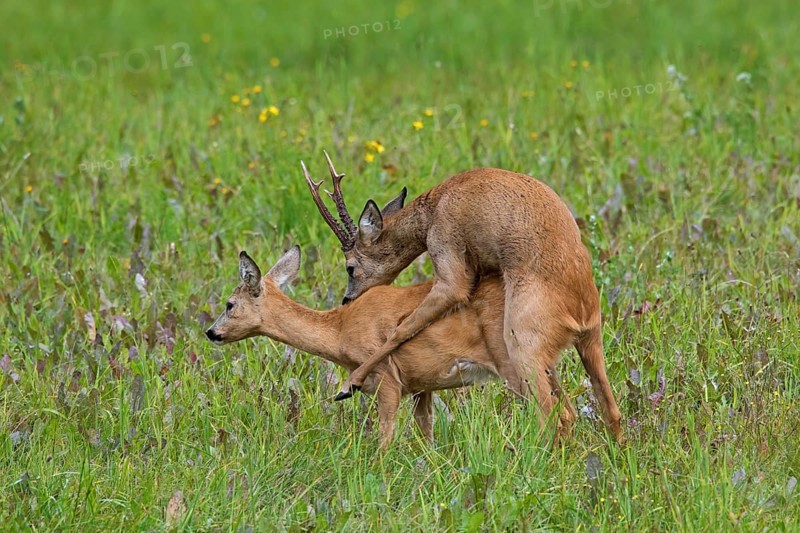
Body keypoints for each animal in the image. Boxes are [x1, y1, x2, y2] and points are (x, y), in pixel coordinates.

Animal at [204, 247, 577, 449]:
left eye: (230, 304)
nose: (211, 332)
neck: (340, 330)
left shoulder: (387, 379)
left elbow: (385, 437)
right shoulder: (423, 384)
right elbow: (426, 434)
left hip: (513, 361)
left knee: (555, 413)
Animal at [300, 152, 623, 442]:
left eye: (350, 266)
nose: (348, 300)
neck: (434, 207)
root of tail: (580, 308)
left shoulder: (450, 270)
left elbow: (401, 329)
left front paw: (348, 385)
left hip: (523, 348)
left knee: (556, 415)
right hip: (589, 344)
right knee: (611, 411)